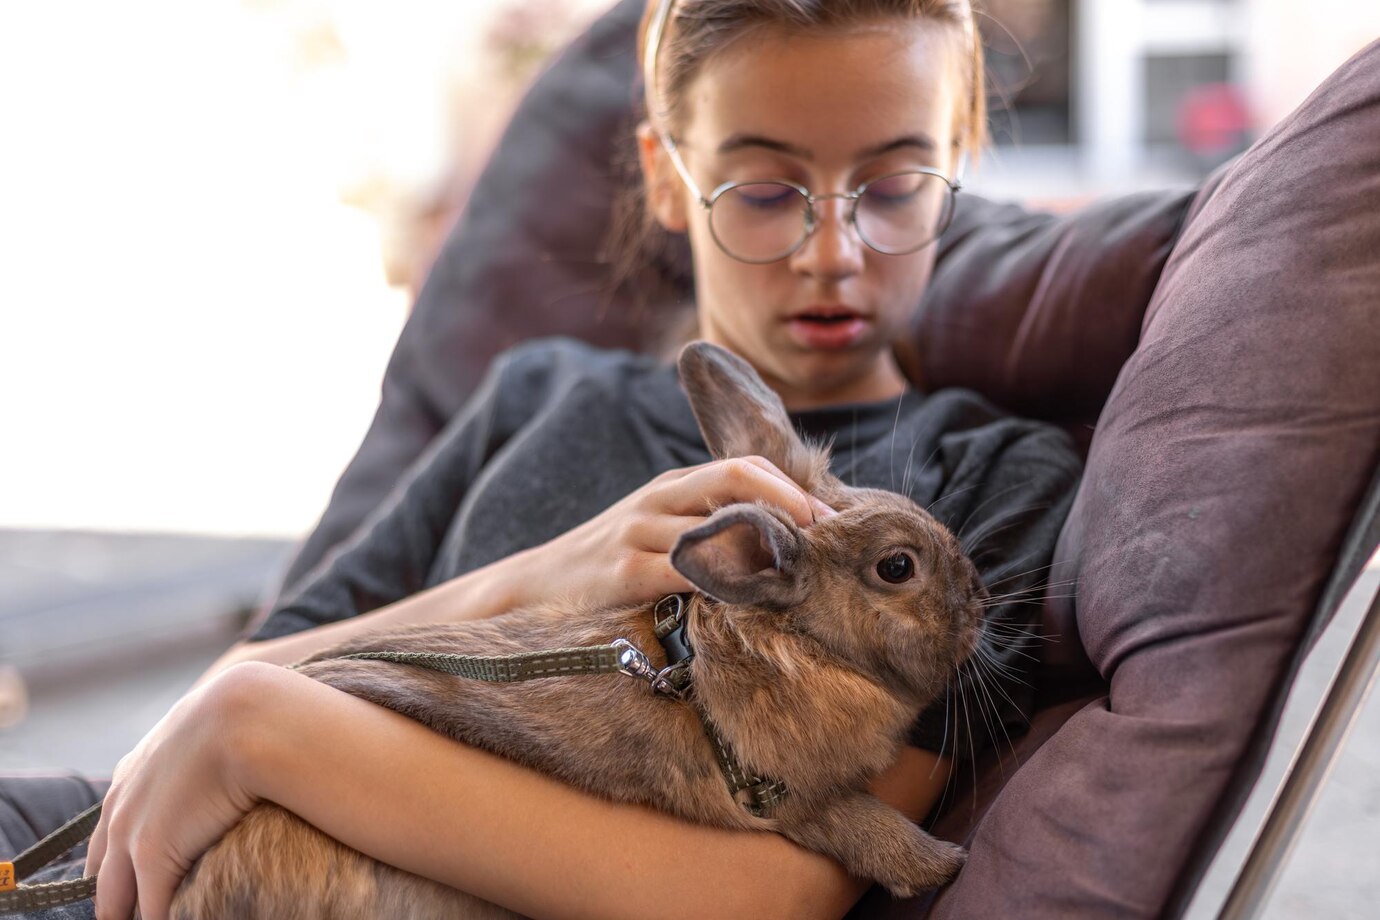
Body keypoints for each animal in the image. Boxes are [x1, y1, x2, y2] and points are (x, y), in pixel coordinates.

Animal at [172, 342, 988, 915]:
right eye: (897, 567)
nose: (980, 600)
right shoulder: (790, 800)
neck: (800, 646)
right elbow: (871, 828)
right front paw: (944, 863)